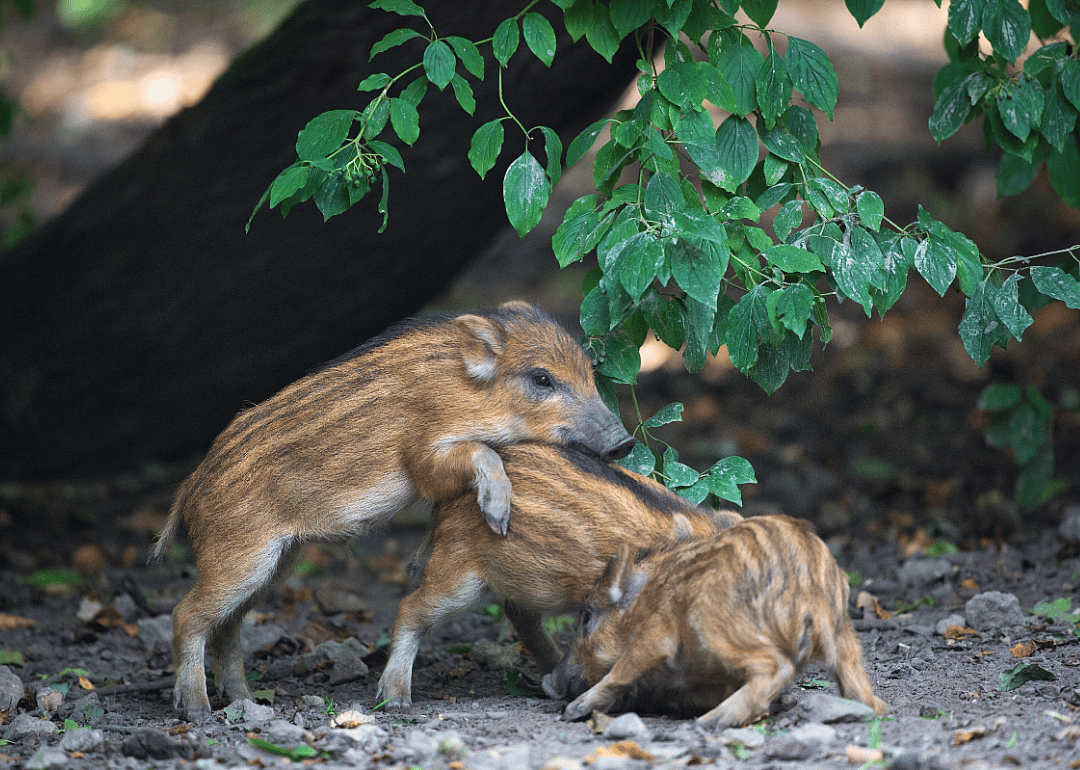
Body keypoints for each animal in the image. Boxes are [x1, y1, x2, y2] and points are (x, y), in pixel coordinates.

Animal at [148, 301, 634, 720]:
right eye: (541, 379)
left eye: (589, 373)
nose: (624, 442)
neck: (463, 388)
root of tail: (189, 488)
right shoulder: (422, 457)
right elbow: (482, 452)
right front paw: (498, 516)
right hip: (238, 554)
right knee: (186, 614)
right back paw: (195, 709)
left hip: (275, 561)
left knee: (227, 627)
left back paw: (247, 702)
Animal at [542, 515, 889, 728]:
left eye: (587, 617)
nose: (547, 681)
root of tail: (813, 592)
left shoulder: (657, 634)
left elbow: (623, 668)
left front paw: (573, 711)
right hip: (846, 640)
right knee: (863, 693)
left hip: (717, 624)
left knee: (775, 667)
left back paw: (712, 722)